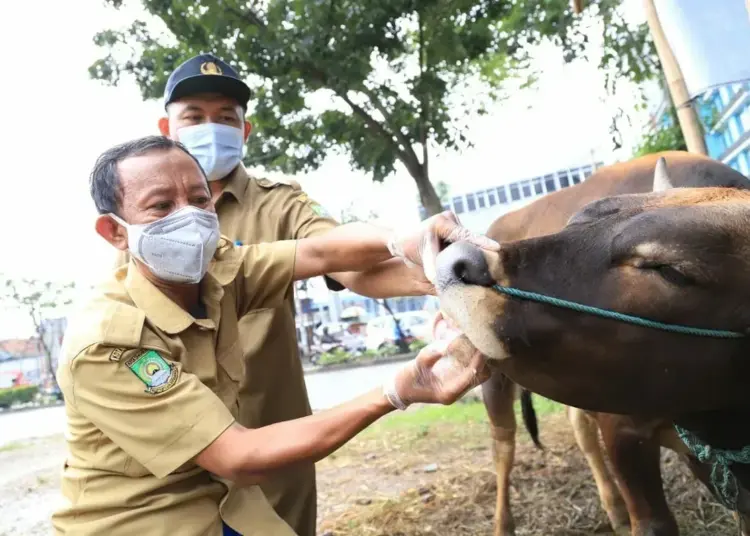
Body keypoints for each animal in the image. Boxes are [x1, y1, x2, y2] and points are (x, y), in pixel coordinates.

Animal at [434, 152, 750, 536]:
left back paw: (613, 507)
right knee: (503, 446)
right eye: (577, 221)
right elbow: (653, 524)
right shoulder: (624, 431)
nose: (458, 260)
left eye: (670, 270)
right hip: (495, 382)